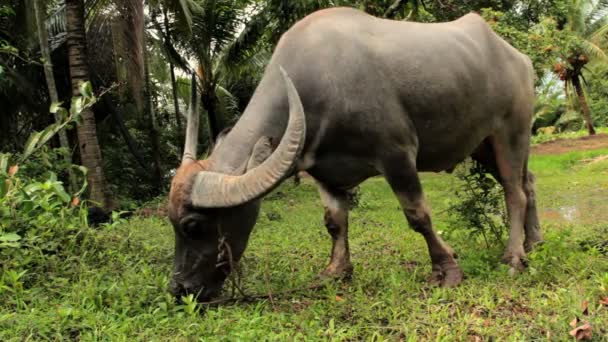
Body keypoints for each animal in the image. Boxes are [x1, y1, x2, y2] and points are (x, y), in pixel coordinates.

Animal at [166, 7, 540, 302]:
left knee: (514, 192)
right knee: (529, 182)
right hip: (483, 145)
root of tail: (518, 58)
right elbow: (334, 222)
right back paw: (534, 242)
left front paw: (447, 270)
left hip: (512, 131)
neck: (318, 83)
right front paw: (336, 271)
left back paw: (513, 257)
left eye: (193, 225)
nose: (180, 289)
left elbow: (418, 215)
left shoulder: (397, 154)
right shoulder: (323, 172)